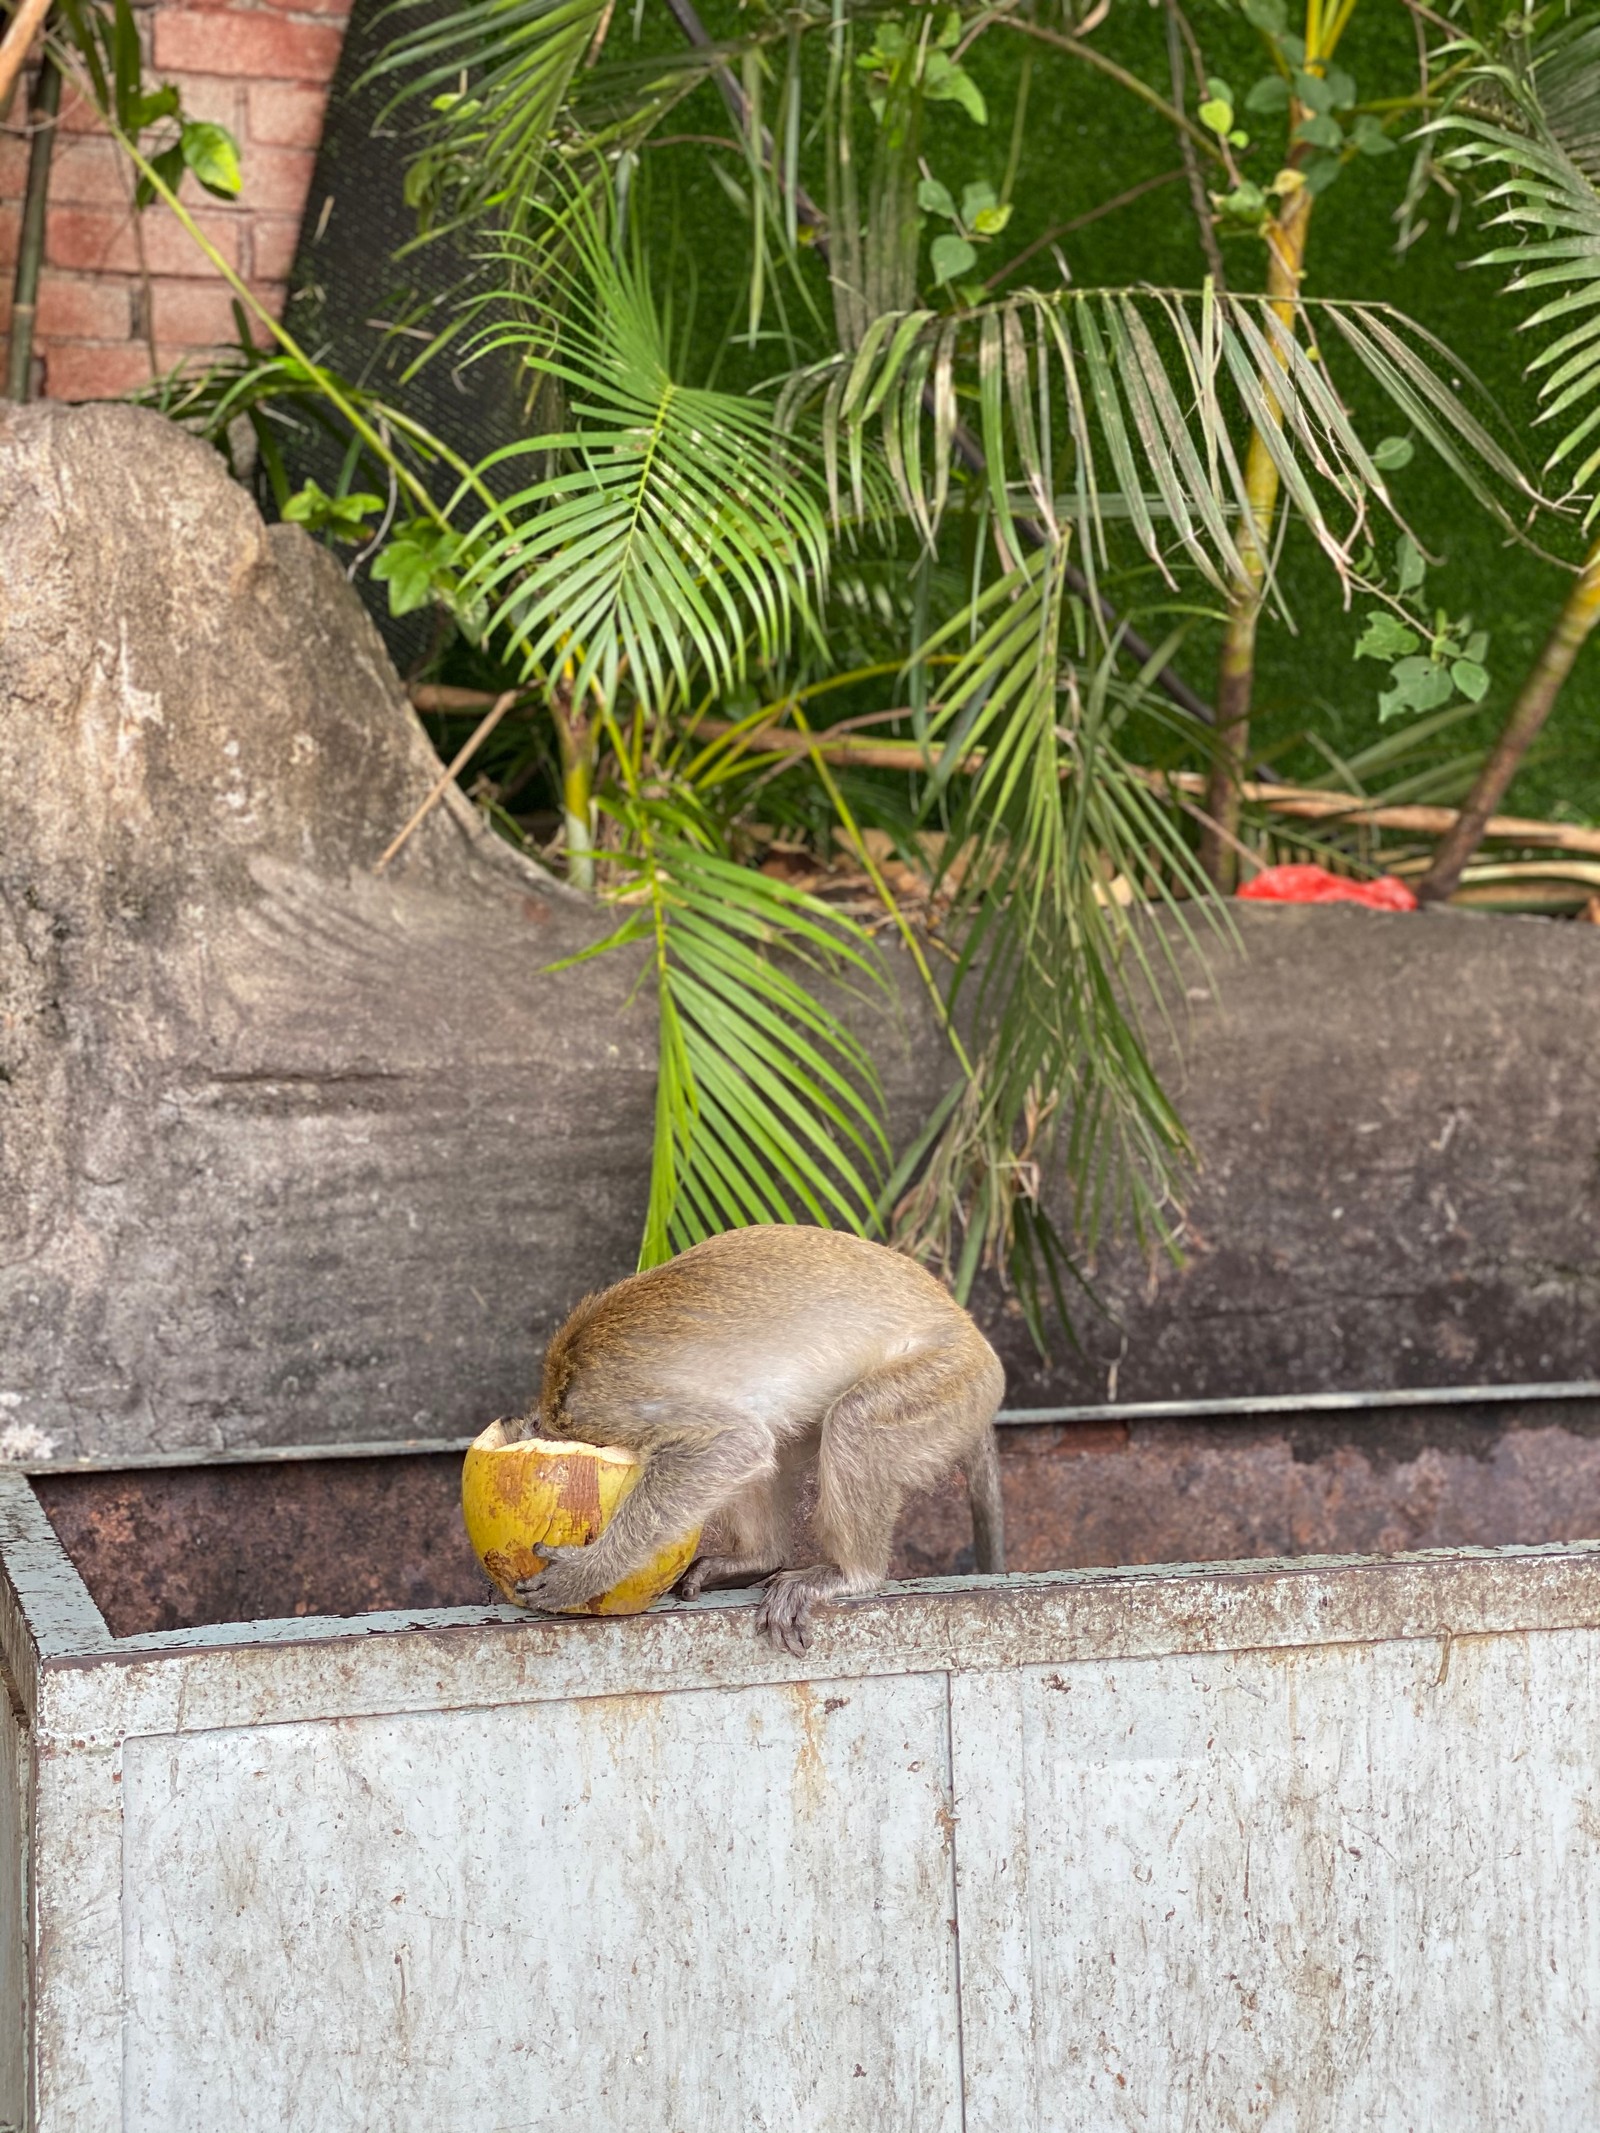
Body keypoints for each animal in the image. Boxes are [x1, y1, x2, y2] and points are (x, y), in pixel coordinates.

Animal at [507, 1228, 1006, 1655]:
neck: (560, 1393)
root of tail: (965, 1323)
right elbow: (741, 1447)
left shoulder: (604, 1404)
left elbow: (732, 1442)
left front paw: (587, 1573)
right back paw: (760, 1559)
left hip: (956, 1379)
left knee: (852, 1420)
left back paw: (852, 1574)